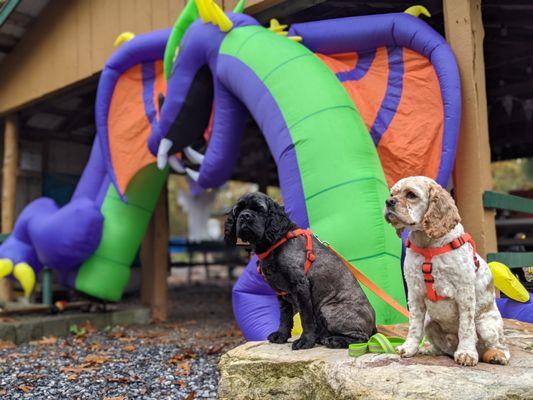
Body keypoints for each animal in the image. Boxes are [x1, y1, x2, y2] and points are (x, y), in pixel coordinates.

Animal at [224, 192, 374, 348]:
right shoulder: (282, 294)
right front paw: (281, 335)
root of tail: (374, 325)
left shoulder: (301, 286)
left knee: (363, 338)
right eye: (238, 210)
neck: (276, 242)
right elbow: (285, 317)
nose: (245, 216)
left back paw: (335, 340)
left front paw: (305, 341)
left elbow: (305, 318)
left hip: (329, 309)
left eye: (259, 209)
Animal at [384, 177, 504, 368]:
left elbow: (466, 327)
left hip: (486, 326)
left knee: (498, 345)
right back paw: (430, 350)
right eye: (392, 194)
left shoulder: (465, 293)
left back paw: (496, 356)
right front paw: (409, 348)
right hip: (430, 323)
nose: (389, 202)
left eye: (411, 195)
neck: (428, 245)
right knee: (443, 348)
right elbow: (414, 325)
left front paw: (466, 353)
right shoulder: (415, 292)